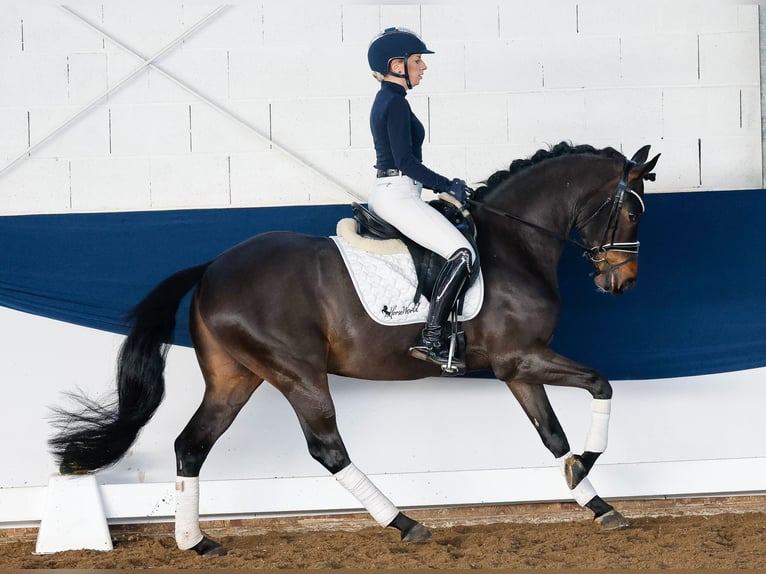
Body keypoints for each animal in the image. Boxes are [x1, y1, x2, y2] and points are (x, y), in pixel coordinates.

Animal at [49, 142, 660, 556]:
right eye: (632, 212)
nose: (623, 283)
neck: (513, 246)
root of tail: (211, 270)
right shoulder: (520, 358)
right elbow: (601, 383)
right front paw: (587, 466)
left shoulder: (518, 369)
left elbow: (552, 435)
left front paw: (594, 500)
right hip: (296, 373)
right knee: (327, 449)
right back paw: (404, 523)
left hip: (235, 377)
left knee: (191, 445)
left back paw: (195, 542)